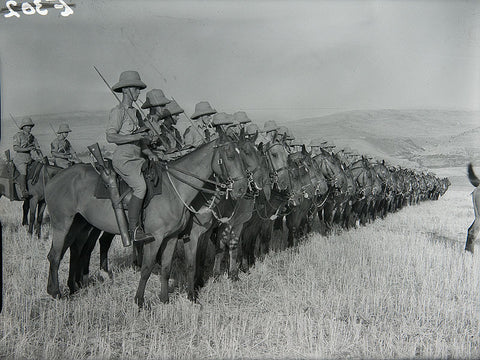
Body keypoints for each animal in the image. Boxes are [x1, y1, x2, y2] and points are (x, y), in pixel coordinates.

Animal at [45, 132, 249, 306]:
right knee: (56, 256)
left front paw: (165, 299)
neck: (176, 188)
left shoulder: (172, 237)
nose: (242, 188)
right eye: (230, 156)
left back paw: (67, 287)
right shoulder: (159, 238)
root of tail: (54, 178)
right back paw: (57, 293)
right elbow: (148, 268)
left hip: (79, 225)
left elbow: (166, 268)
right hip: (62, 225)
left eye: (243, 157)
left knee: (71, 252)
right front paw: (140, 301)